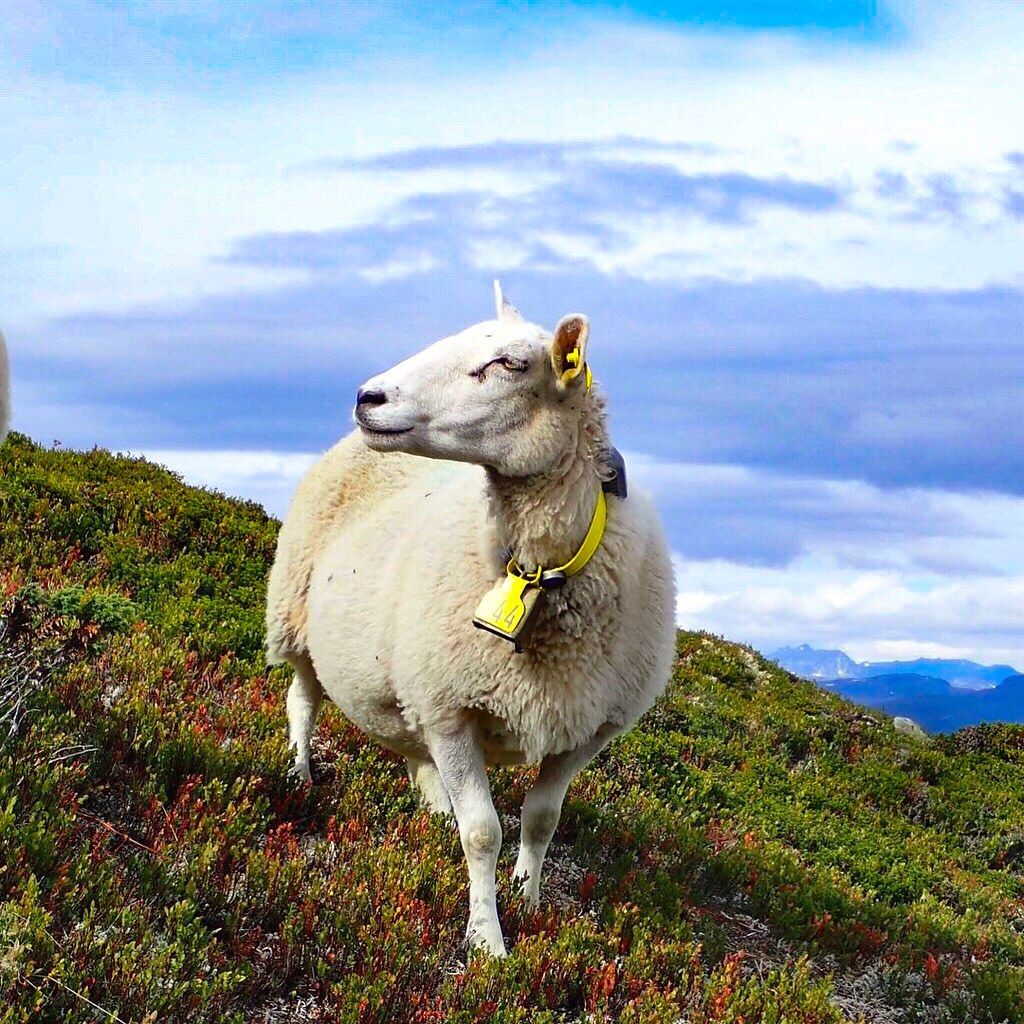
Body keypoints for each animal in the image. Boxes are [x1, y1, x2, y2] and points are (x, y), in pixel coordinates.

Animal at [266, 282, 676, 956]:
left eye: (508, 364)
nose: (367, 397)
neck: (537, 575)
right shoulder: (452, 709)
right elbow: (483, 832)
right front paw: (487, 940)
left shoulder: (587, 729)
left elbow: (541, 820)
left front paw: (529, 900)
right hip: (295, 615)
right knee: (302, 699)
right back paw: (299, 774)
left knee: (409, 744)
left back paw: (432, 809)